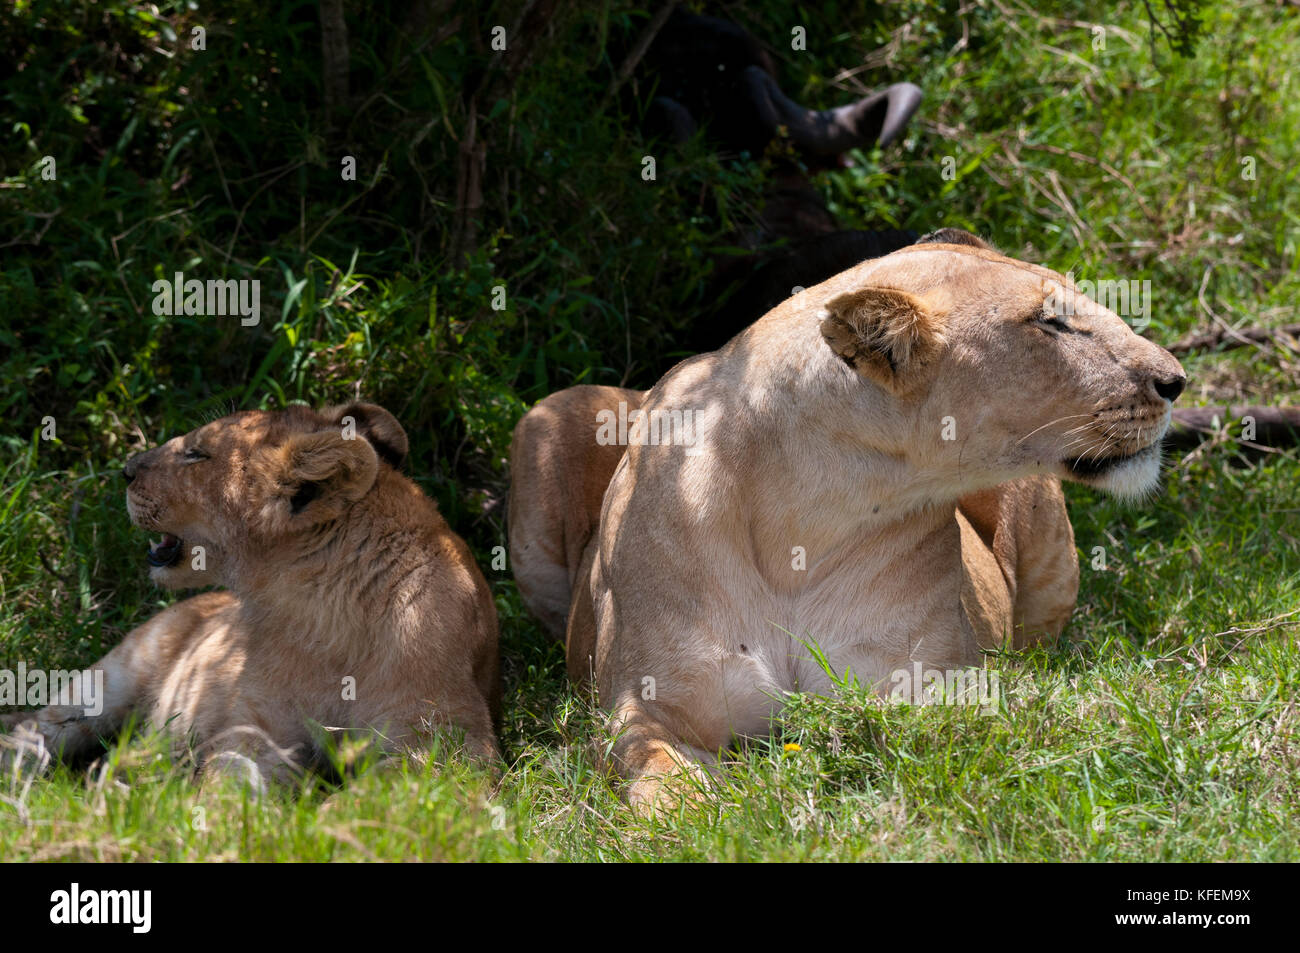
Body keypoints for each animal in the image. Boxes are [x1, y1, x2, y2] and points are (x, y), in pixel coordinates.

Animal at [1, 402, 500, 785]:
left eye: (196, 454)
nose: (124, 470)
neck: (322, 617)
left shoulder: (443, 734)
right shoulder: (256, 724)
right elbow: (232, 785)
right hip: (114, 676)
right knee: (38, 728)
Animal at [509, 229, 1186, 811]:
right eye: (1051, 322)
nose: (1176, 381)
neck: (804, 521)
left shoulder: (931, 683)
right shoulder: (644, 709)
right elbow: (663, 785)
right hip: (551, 413)